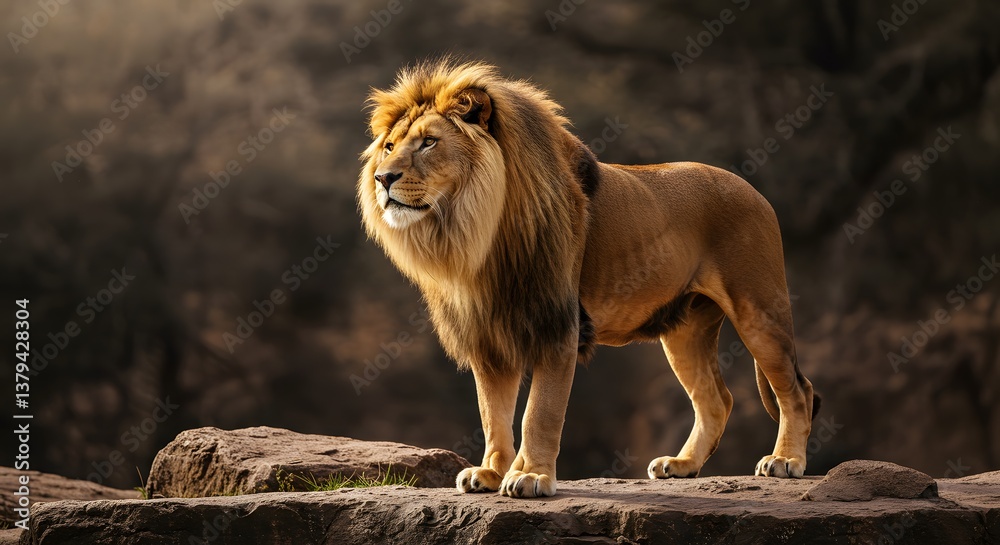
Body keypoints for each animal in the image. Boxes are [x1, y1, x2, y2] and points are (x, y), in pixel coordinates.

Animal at [358, 59, 819, 498]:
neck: (476, 234)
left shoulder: (557, 327)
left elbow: (539, 413)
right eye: (389, 147)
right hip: (686, 329)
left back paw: (785, 461)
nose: (383, 178)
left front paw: (531, 476)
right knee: (716, 399)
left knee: (797, 390)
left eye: (429, 142)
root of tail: (751, 188)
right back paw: (682, 465)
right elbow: (493, 414)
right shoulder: (489, 337)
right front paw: (490, 472)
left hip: (758, 310)